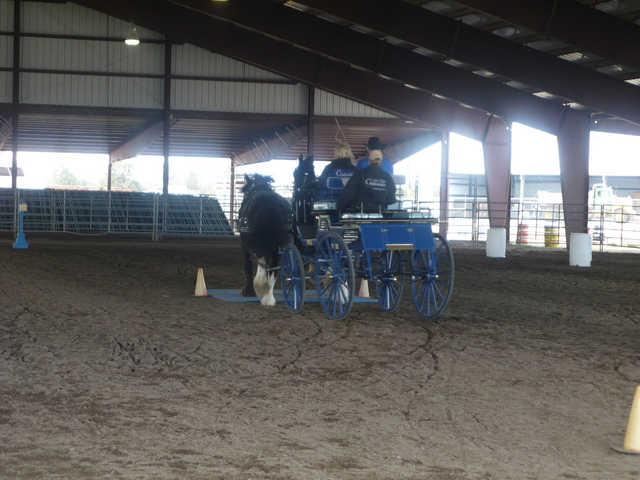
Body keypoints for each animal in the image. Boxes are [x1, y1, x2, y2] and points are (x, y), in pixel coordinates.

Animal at [238, 174, 292, 306]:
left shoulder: (244, 244)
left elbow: (248, 265)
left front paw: (249, 290)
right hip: (278, 246)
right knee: (273, 269)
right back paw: (269, 297)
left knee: (262, 264)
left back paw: (260, 288)